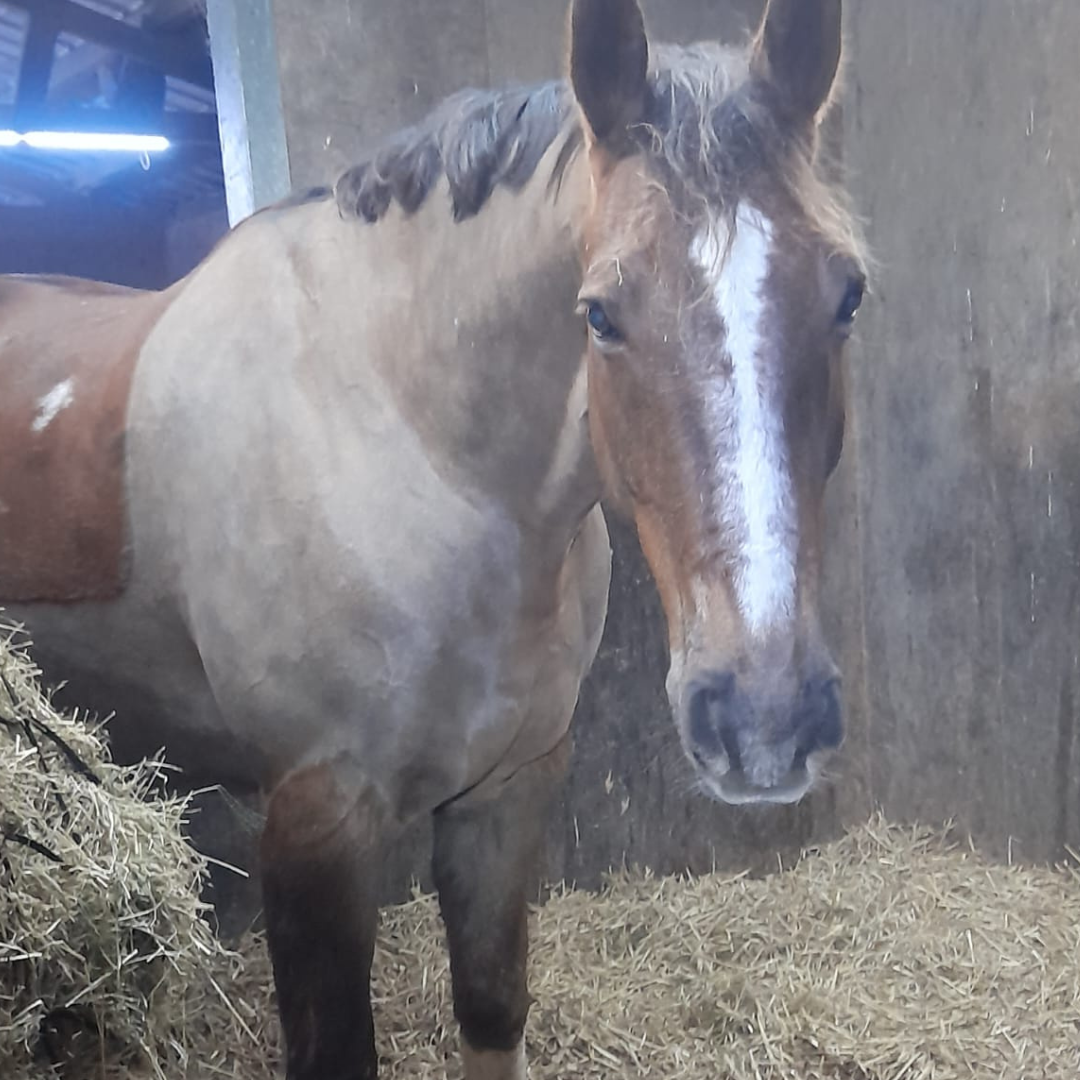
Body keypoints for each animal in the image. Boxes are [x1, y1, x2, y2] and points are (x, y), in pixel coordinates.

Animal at [0, 0, 866, 1076]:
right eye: (600, 314)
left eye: (847, 295)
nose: (764, 719)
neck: (413, 445)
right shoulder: (318, 818)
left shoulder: (509, 790)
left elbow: (492, 1005)